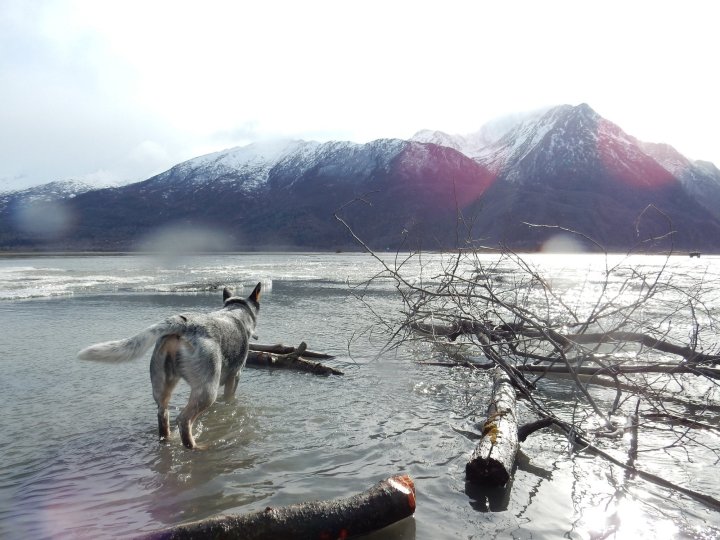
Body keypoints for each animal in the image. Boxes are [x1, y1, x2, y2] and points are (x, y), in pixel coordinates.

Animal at [78, 284, 262, 450]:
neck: (235, 311)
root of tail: (182, 324)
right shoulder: (235, 376)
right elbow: (230, 398)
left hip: (162, 383)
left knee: (162, 414)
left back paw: (167, 441)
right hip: (208, 390)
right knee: (183, 420)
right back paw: (197, 447)